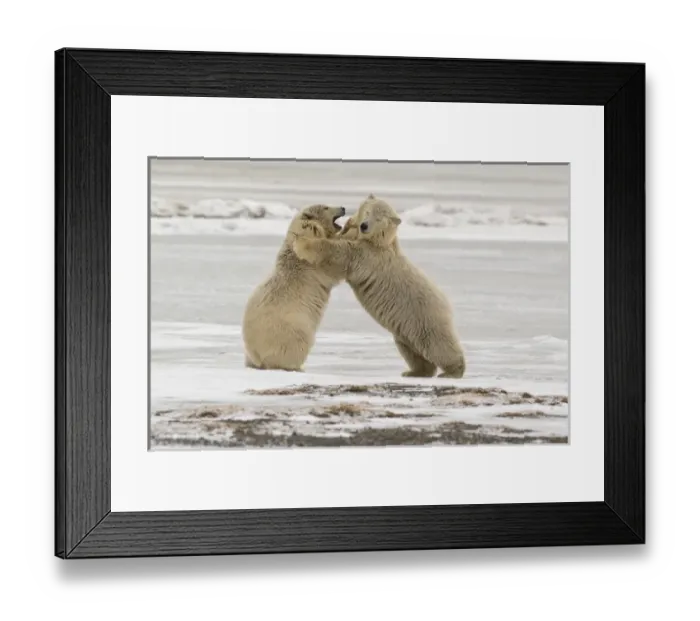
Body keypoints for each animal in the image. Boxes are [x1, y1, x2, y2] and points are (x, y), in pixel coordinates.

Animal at [242, 204, 346, 372]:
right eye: (326, 207)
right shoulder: (312, 263)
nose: (343, 208)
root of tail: (256, 354)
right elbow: (332, 265)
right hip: (292, 331)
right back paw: (297, 367)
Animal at [293, 196, 465, 378]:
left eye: (379, 219)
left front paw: (302, 242)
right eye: (368, 212)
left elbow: (337, 252)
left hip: (424, 317)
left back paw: (452, 372)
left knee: (438, 344)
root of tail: (446, 304)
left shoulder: (366, 256)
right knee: (410, 349)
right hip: (406, 327)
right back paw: (414, 371)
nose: (364, 225)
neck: (380, 242)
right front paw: (348, 224)